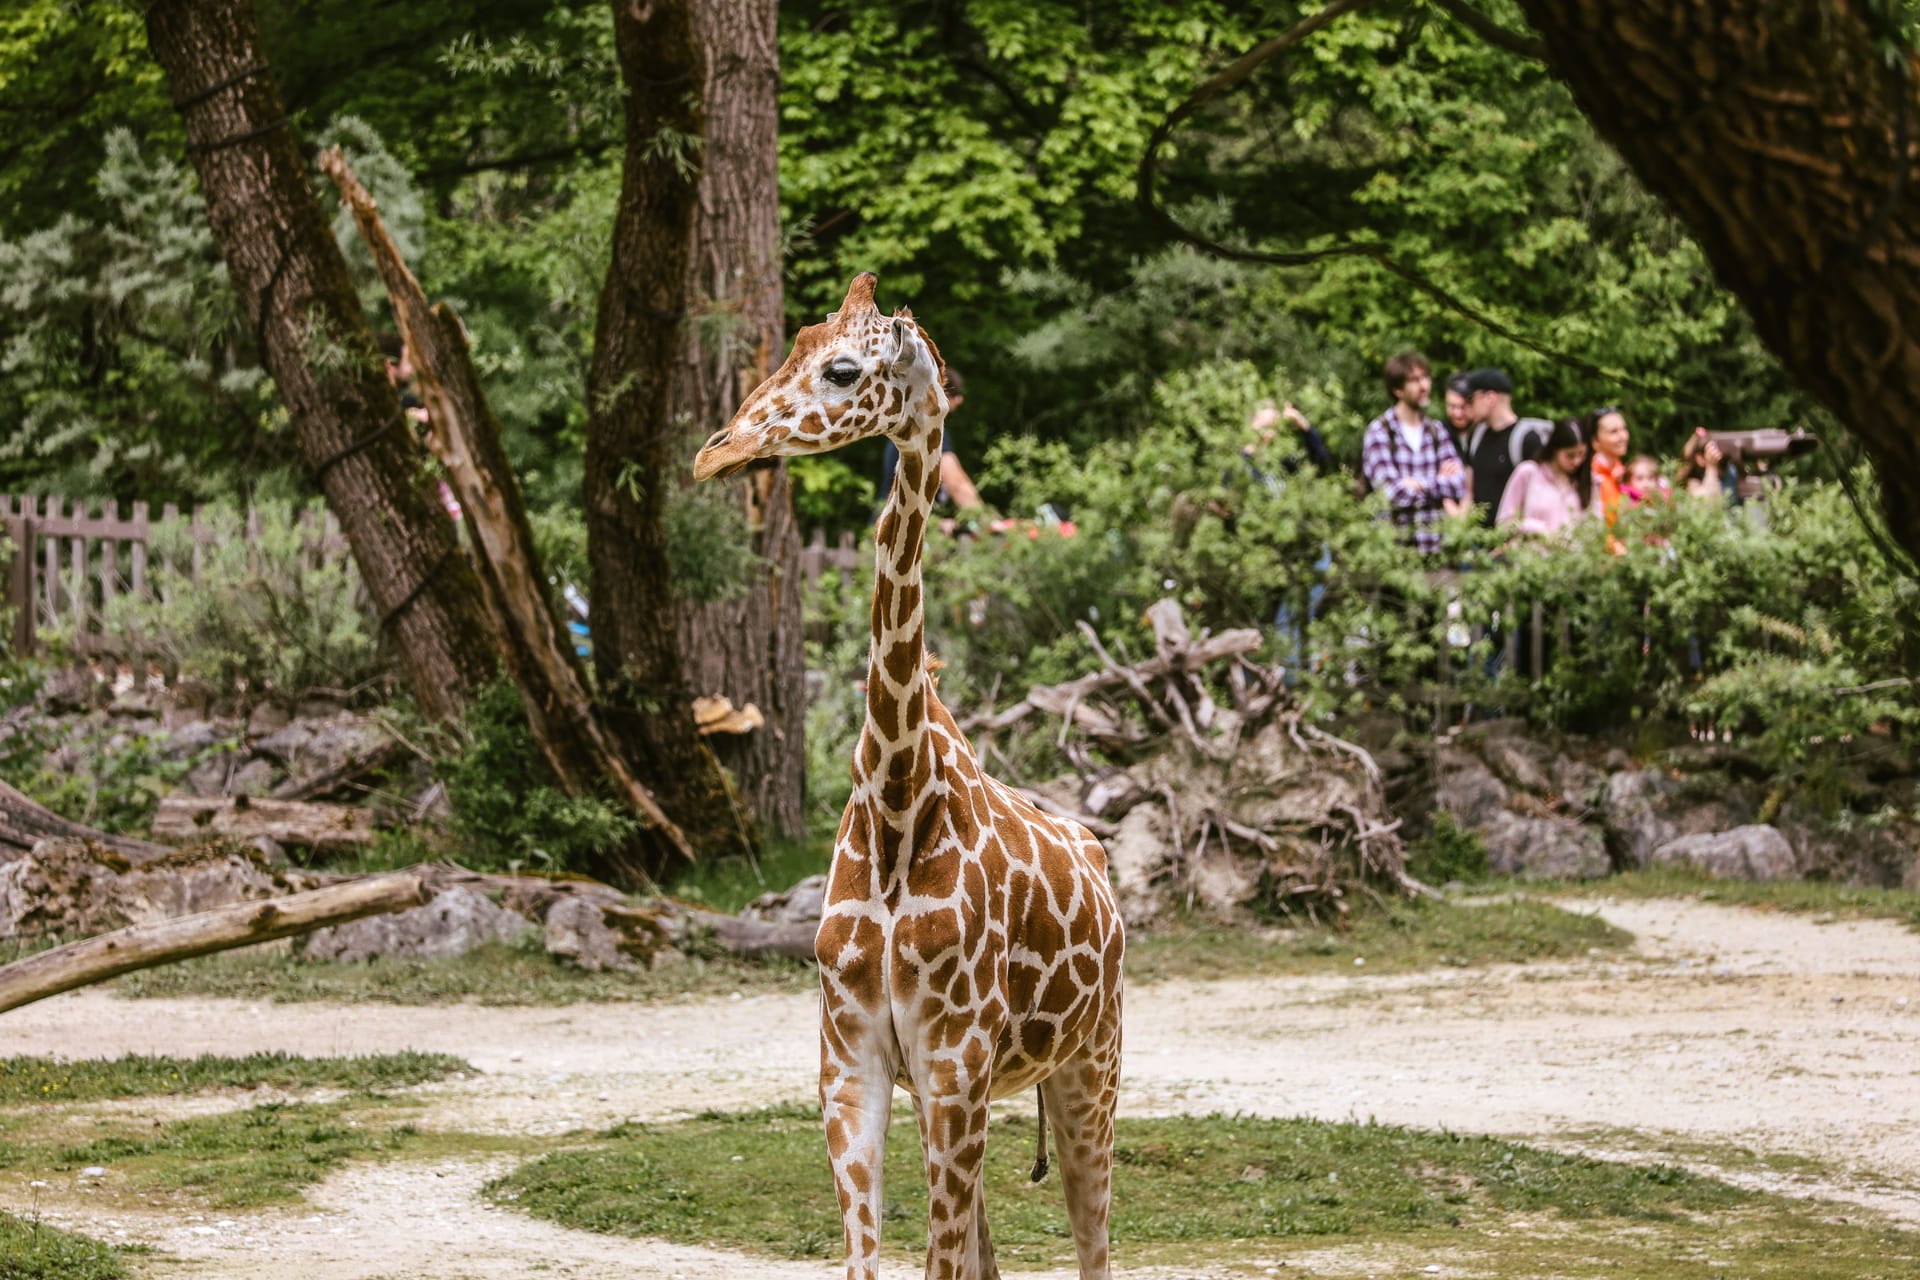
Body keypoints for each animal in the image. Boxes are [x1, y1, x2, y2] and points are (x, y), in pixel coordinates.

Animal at [698, 276, 1121, 1274]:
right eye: (796, 341)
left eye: (843, 370)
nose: (713, 451)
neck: (897, 806)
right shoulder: (849, 1066)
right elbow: (873, 1258)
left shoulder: (952, 1065)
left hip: (1091, 1069)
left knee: (1096, 1243)